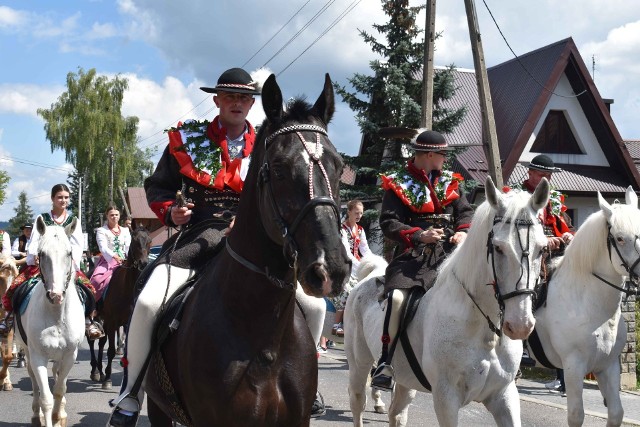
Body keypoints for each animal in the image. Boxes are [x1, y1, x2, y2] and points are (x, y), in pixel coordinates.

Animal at [15, 217, 85, 427]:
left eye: (69, 253)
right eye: (41, 254)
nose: (55, 295)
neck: (56, 315)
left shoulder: (70, 355)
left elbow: (60, 390)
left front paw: (58, 416)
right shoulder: (38, 356)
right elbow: (45, 397)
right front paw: (46, 416)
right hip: (28, 352)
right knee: (34, 381)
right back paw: (35, 415)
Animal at [89, 227, 151, 392]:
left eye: (149, 241)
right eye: (134, 241)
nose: (143, 264)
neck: (127, 288)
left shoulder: (127, 323)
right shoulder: (112, 321)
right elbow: (110, 351)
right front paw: (108, 379)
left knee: (101, 342)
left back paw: (100, 371)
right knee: (92, 342)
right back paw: (95, 371)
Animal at [344, 176, 552, 426]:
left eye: (542, 248)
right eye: (498, 247)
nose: (520, 325)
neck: (485, 329)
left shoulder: (504, 395)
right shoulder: (446, 399)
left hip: (404, 380)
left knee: (397, 413)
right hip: (359, 363)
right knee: (357, 402)